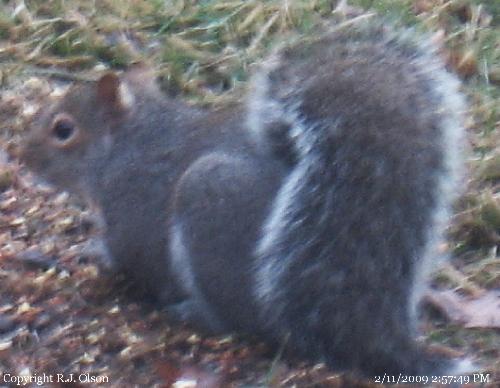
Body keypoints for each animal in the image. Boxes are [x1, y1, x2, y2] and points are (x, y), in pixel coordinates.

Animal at [20, 18, 472, 378]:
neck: (128, 142)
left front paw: (95, 252)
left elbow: (130, 252)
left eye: (63, 129)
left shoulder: (133, 202)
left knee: (239, 321)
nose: (22, 156)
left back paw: (195, 312)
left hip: (210, 203)